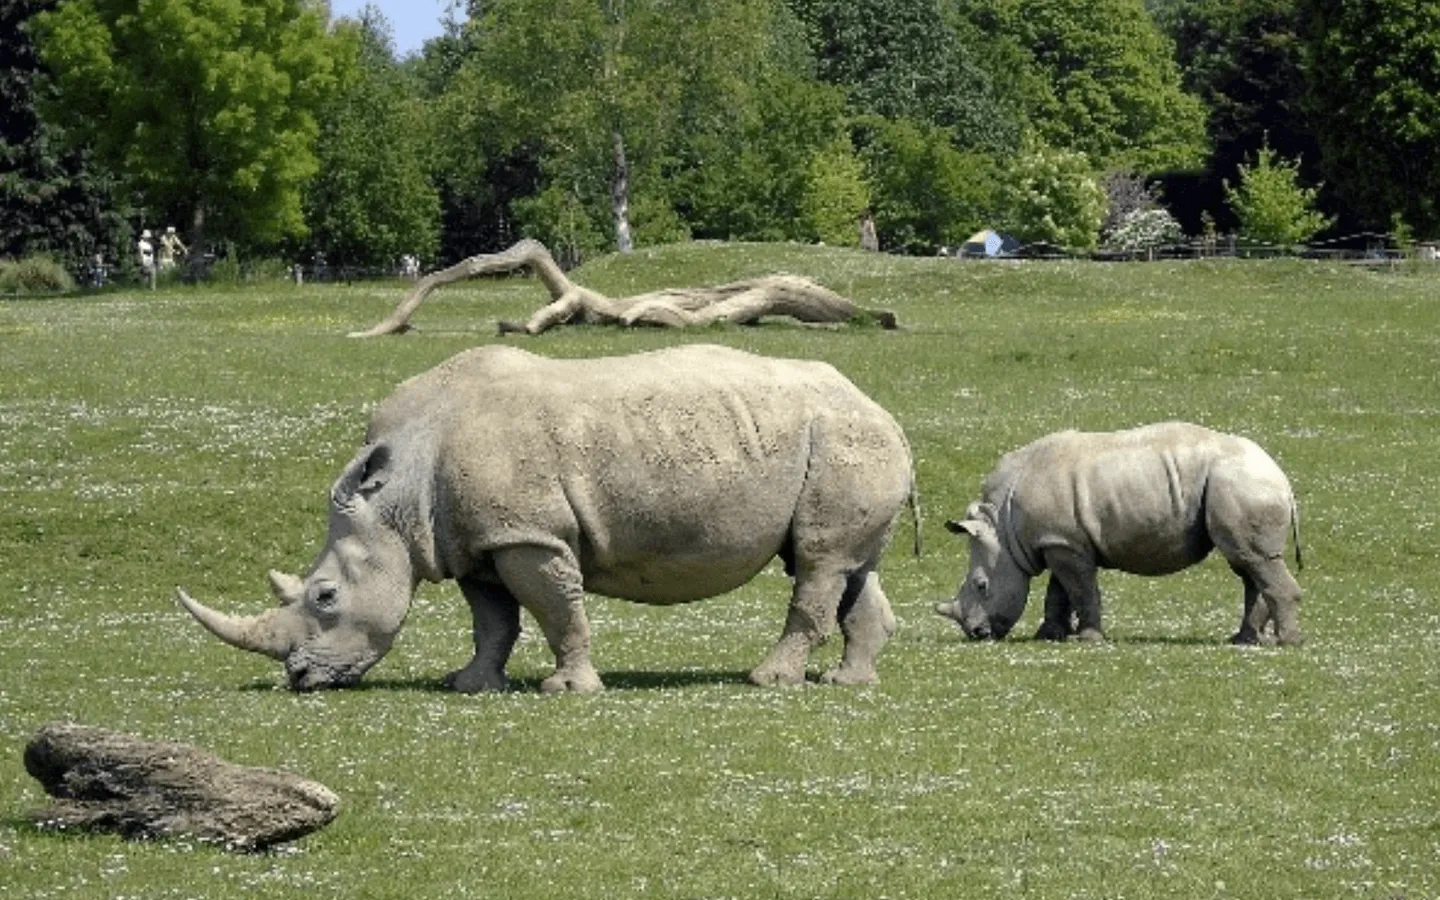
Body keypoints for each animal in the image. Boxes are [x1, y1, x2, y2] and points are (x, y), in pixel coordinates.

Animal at [177, 344, 918, 693]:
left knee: (818, 564)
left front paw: (567, 689)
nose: (300, 679)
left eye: (326, 596)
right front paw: (470, 684)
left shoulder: (528, 535)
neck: (397, 492)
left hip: (844, 439)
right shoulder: (475, 540)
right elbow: (493, 621)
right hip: (843, 442)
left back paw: (768, 680)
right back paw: (848, 682)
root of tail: (886, 411)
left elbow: (556, 610)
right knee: (845, 564)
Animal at [934, 422, 1303, 645]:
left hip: (1241, 484)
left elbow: (1080, 589)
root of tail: (1283, 479)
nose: (976, 634)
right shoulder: (1059, 539)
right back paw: (1243, 641)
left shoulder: (1063, 543)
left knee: (1253, 560)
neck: (1003, 528)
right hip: (1237, 485)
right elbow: (1059, 592)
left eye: (981, 586)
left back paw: (1285, 643)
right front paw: (1049, 636)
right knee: (1247, 563)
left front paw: (1088, 639)